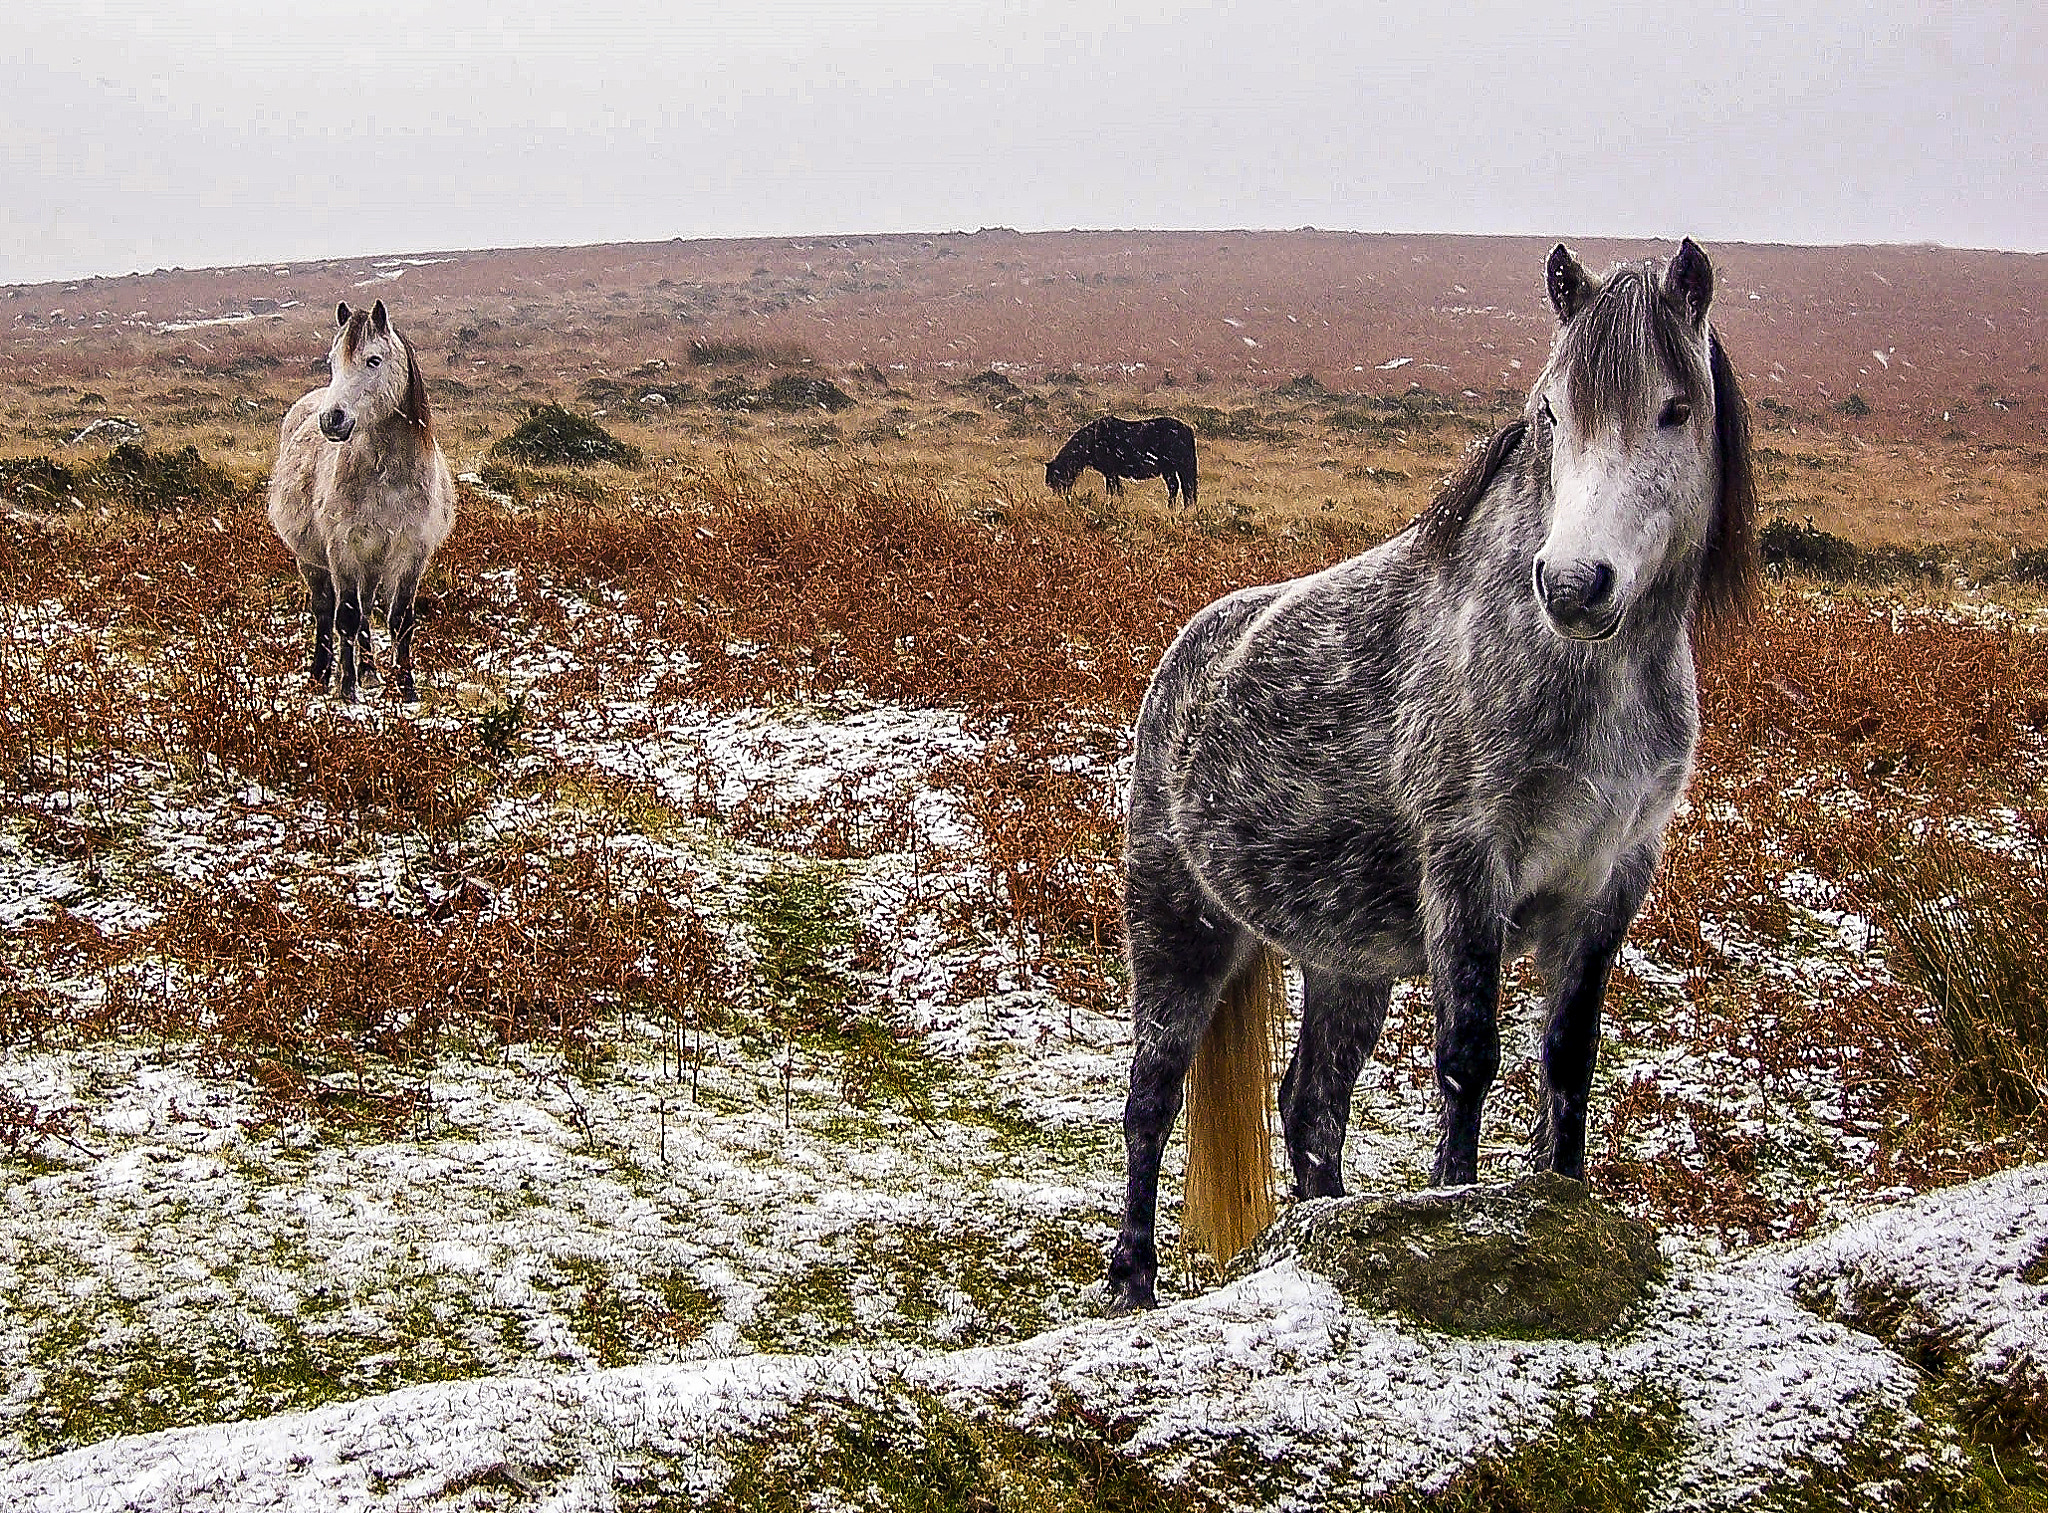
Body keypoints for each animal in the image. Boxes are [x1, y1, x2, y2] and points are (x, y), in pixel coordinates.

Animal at [267, 300, 455, 704]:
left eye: (373, 360)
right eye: (332, 361)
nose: (331, 419)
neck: (389, 480)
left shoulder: (411, 553)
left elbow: (400, 620)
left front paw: (406, 688)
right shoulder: (343, 552)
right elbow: (347, 619)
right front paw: (348, 690)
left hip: (372, 563)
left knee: (368, 608)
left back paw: (369, 672)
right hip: (314, 562)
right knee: (326, 613)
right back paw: (322, 676)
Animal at [1046, 416, 1197, 508]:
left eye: (1055, 479)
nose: (1058, 499)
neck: (1092, 441)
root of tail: (1187, 429)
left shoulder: (1110, 472)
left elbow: (1112, 490)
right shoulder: (1111, 473)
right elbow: (1117, 490)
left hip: (1175, 468)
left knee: (1180, 487)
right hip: (1173, 469)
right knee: (1182, 487)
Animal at [1105, 240, 1757, 1312]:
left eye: (1675, 408)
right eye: (1551, 412)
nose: (1574, 585)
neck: (1585, 672)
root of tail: (1185, 656)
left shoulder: (1611, 882)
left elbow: (1567, 1061)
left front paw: (1562, 1198)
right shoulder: (1467, 870)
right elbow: (1469, 1058)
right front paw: (1458, 1213)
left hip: (1345, 960)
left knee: (1311, 1105)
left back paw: (1320, 1227)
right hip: (1178, 926)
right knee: (1150, 1099)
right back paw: (1132, 1282)